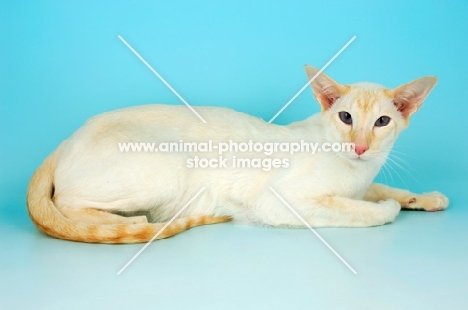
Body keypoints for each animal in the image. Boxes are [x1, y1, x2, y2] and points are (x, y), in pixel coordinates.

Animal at [26, 66, 450, 243]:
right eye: (345, 117)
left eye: (382, 122)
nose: (359, 146)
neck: (357, 170)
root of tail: (66, 140)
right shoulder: (281, 202)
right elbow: (369, 210)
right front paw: (387, 209)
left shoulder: (366, 180)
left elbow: (380, 191)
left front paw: (425, 198)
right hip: (169, 165)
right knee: (67, 205)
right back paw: (129, 222)